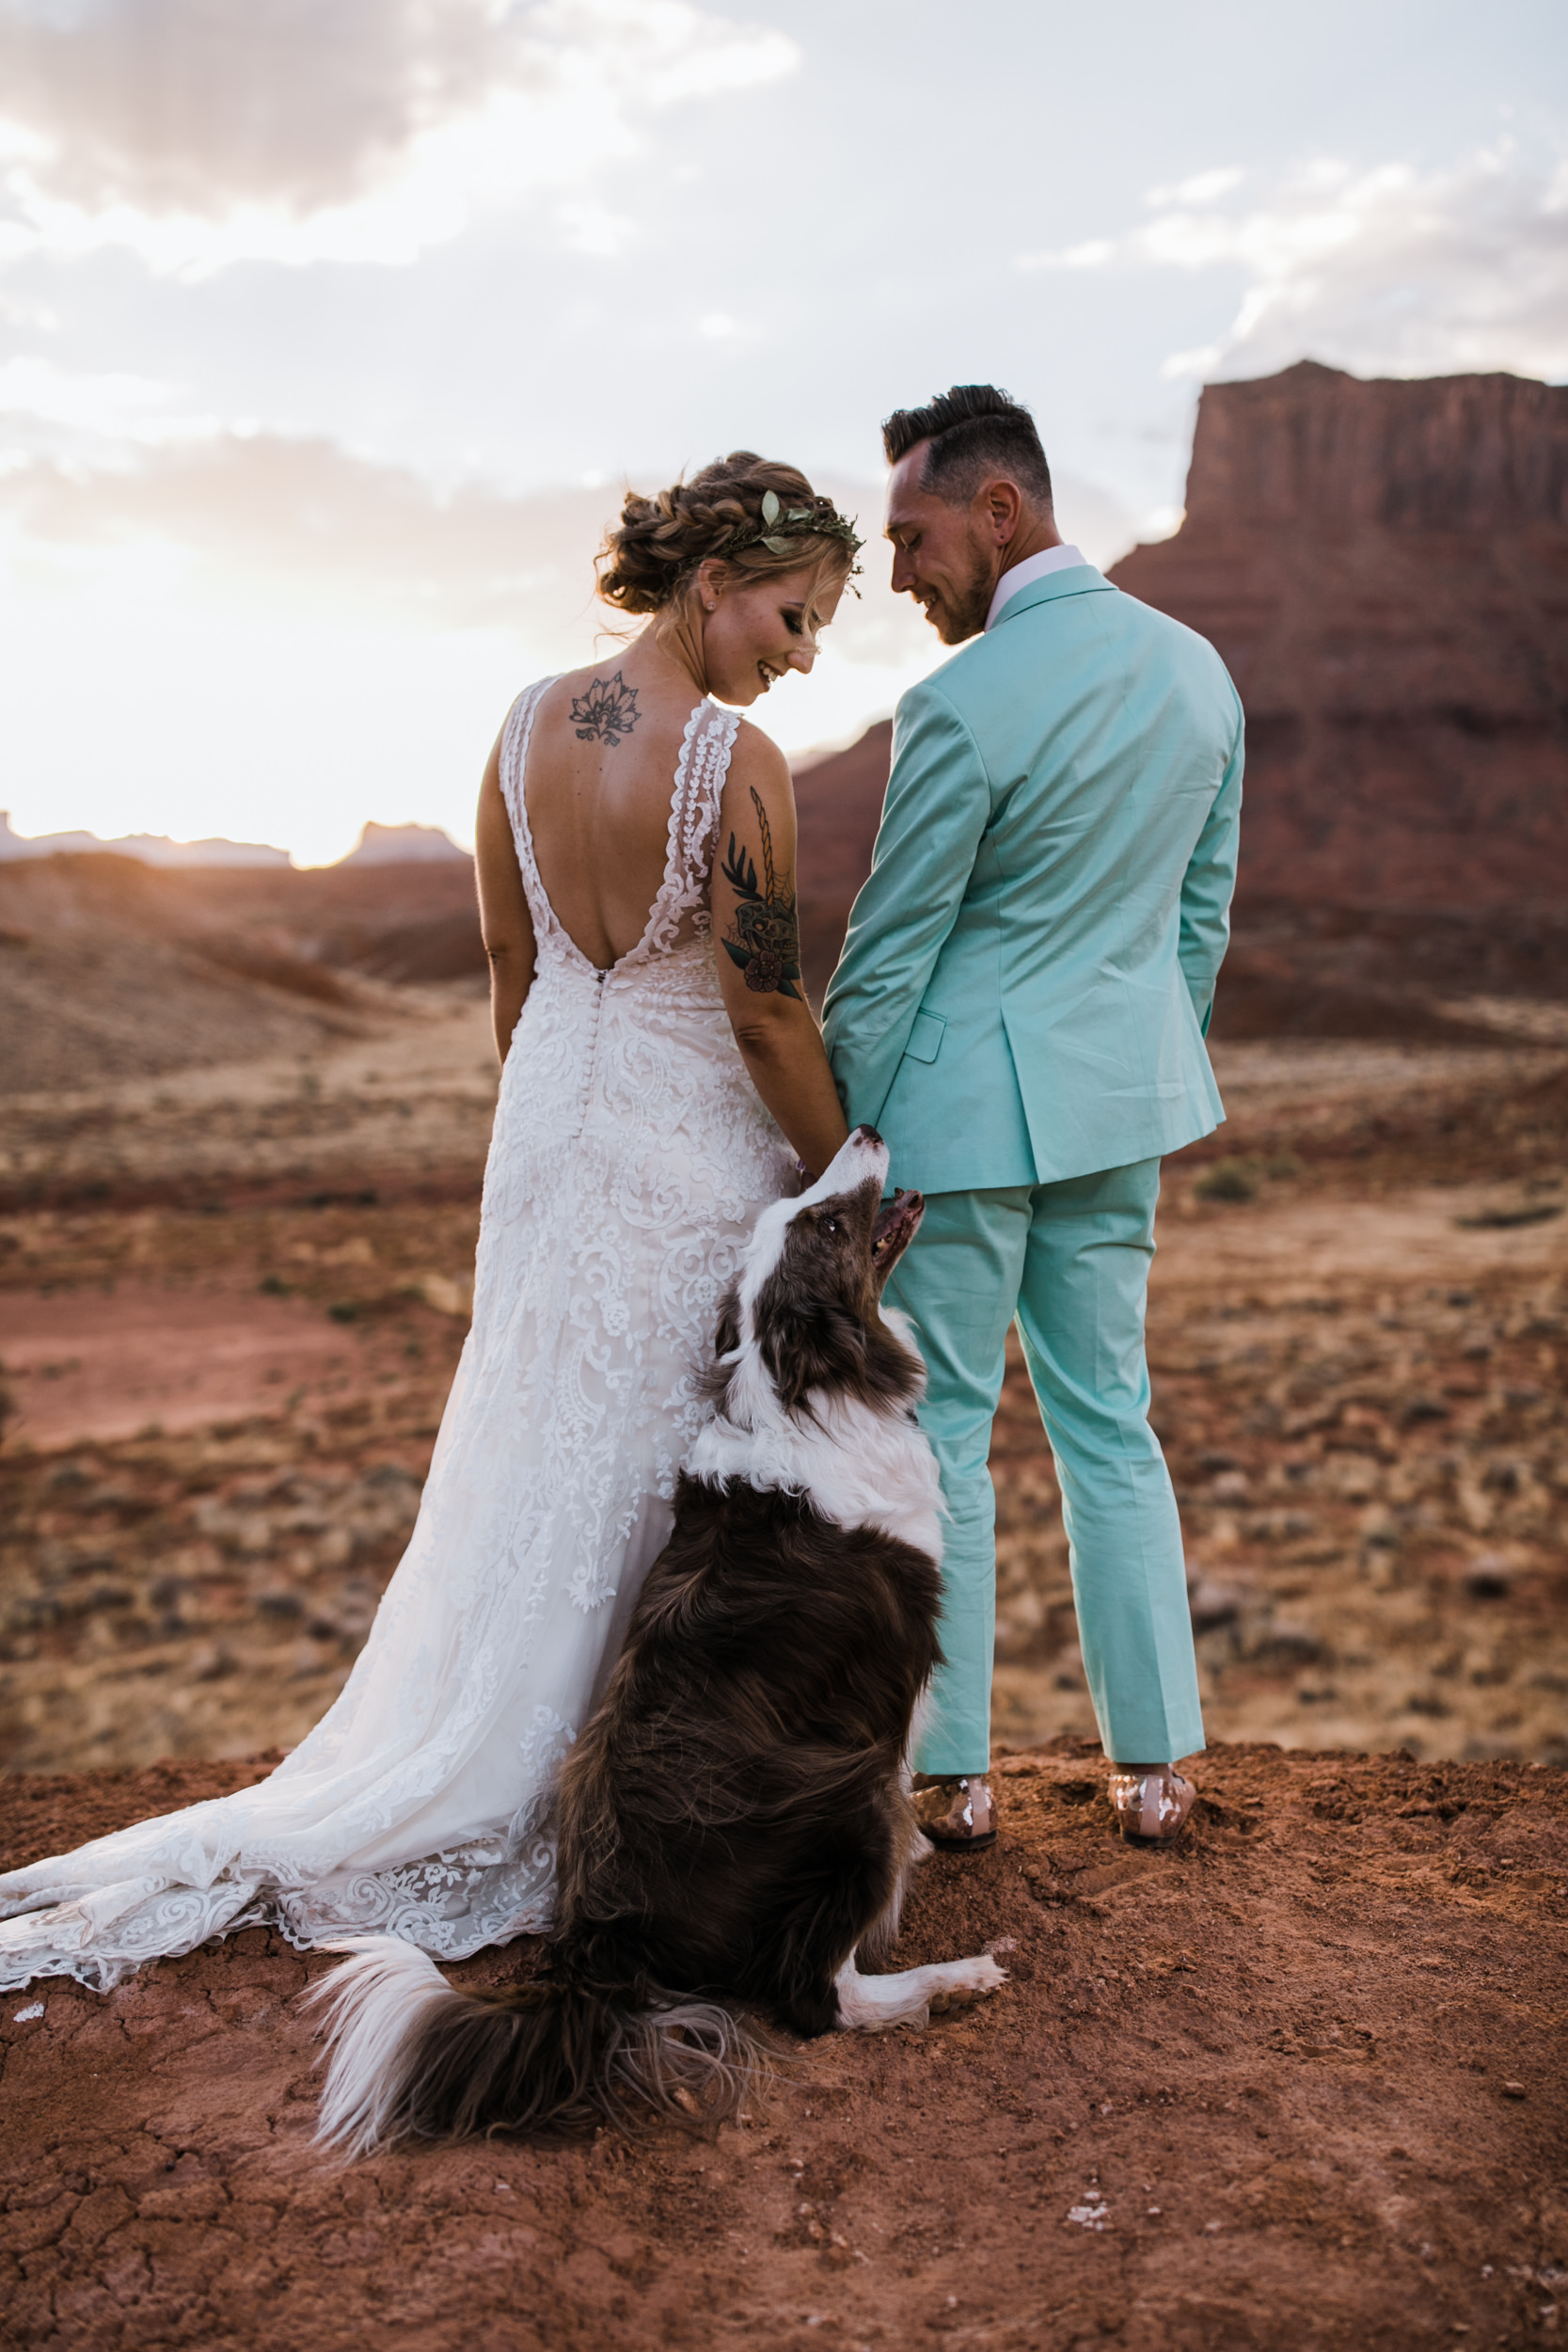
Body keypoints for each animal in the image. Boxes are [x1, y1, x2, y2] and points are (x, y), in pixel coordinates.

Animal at [312, 1129, 1006, 2154]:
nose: (865, 1132)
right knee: (815, 1997)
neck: (797, 1390)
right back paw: (948, 1981)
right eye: (826, 1226)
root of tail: (602, 1939)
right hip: (852, 1795)